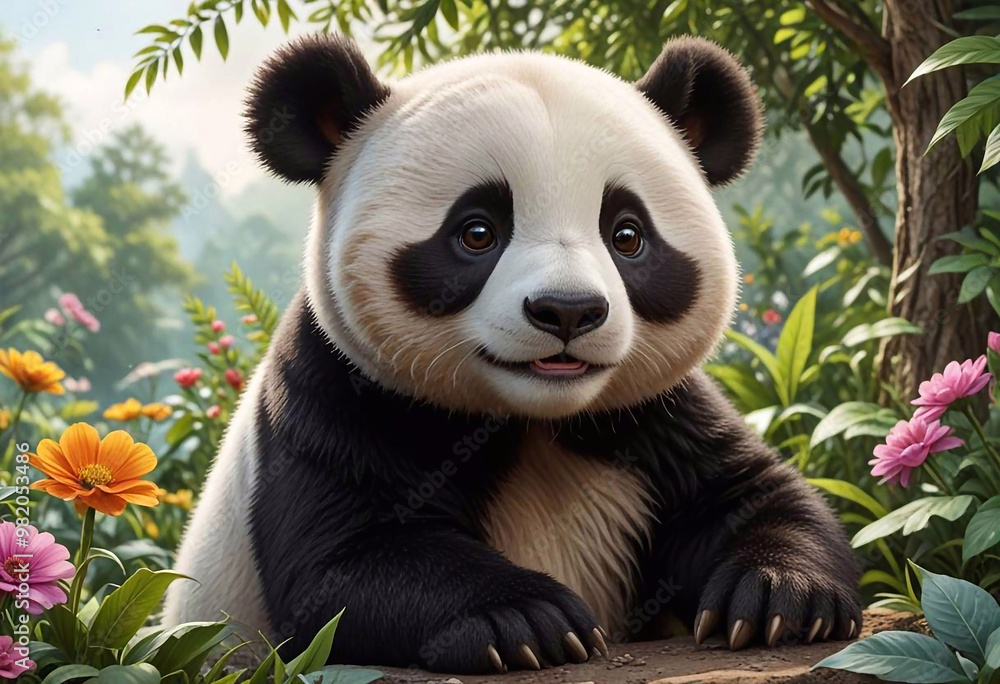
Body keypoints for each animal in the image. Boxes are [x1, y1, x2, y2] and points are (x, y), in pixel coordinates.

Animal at [162, 33, 862, 674]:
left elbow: (748, 493)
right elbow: (345, 561)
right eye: (477, 231)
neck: (533, 421)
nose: (568, 311)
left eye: (627, 234)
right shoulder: (335, 390)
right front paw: (525, 620)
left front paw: (780, 595)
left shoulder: (655, 414)